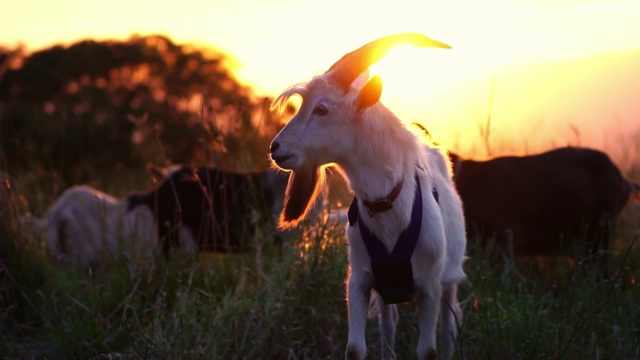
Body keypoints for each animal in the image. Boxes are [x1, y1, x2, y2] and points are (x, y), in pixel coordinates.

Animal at [268, 33, 468, 360]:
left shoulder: (429, 288)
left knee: (449, 327)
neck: (390, 208)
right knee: (389, 326)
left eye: (321, 109)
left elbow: (428, 350)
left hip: (449, 279)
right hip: (388, 290)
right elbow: (354, 348)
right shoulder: (360, 282)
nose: (276, 148)